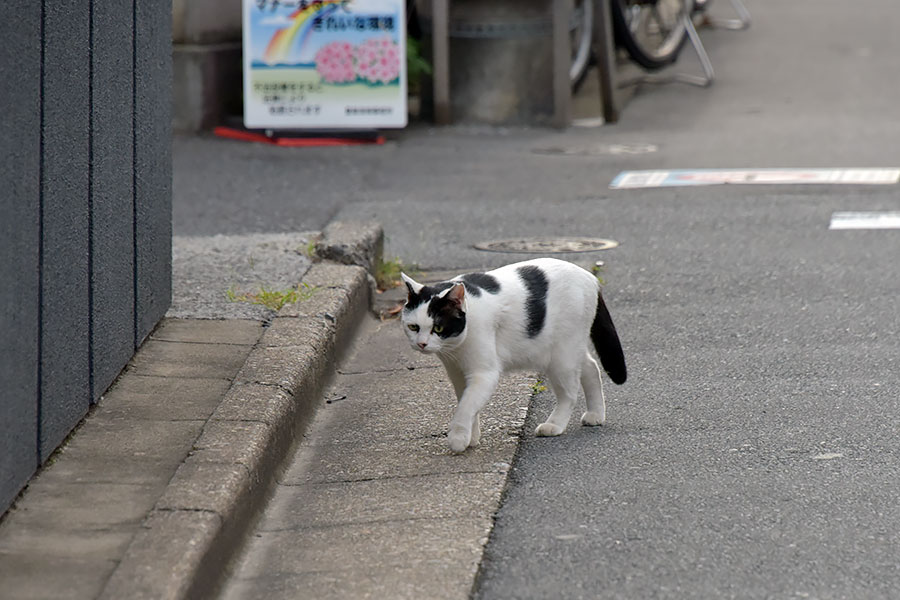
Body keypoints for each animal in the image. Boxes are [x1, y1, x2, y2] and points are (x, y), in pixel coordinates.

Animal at [400, 258, 624, 454]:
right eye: (413, 327)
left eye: (438, 328)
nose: (421, 344)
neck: (456, 349)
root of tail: (591, 277)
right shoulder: (457, 374)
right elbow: (469, 403)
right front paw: (472, 437)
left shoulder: (484, 373)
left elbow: (466, 406)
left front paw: (458, 438)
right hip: (569, 349)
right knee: (591, 367)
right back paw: (596, 414)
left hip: (561, 357)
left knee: (569, 394)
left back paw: (554, 425)